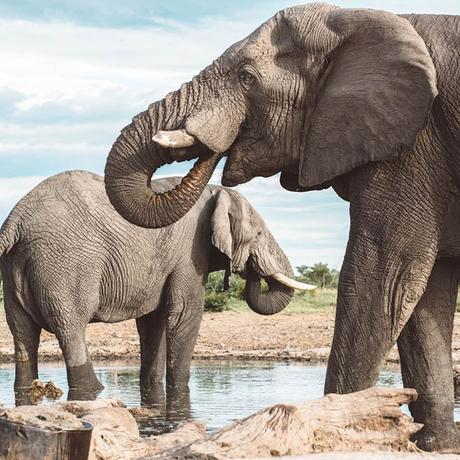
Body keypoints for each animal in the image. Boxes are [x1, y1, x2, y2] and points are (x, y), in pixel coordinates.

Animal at [0, 171, 312, 404]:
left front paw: (152, 389)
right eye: (257, 234)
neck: (213, 191)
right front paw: (179, 391)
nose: (248, 269)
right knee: (71, 330)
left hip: (15, 266)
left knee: (22, 334)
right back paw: (93, 391)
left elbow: (154, 322)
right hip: (66, 264)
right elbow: (185, 314)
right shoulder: (189, 255)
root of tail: (16, 219)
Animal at [103, 0, 460, 452]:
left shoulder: (413, 146)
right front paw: (437, 447)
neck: (359, 17)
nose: (213, 152)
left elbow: (382, 279)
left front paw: (341, 425)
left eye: (246, 77)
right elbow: (422, 296)